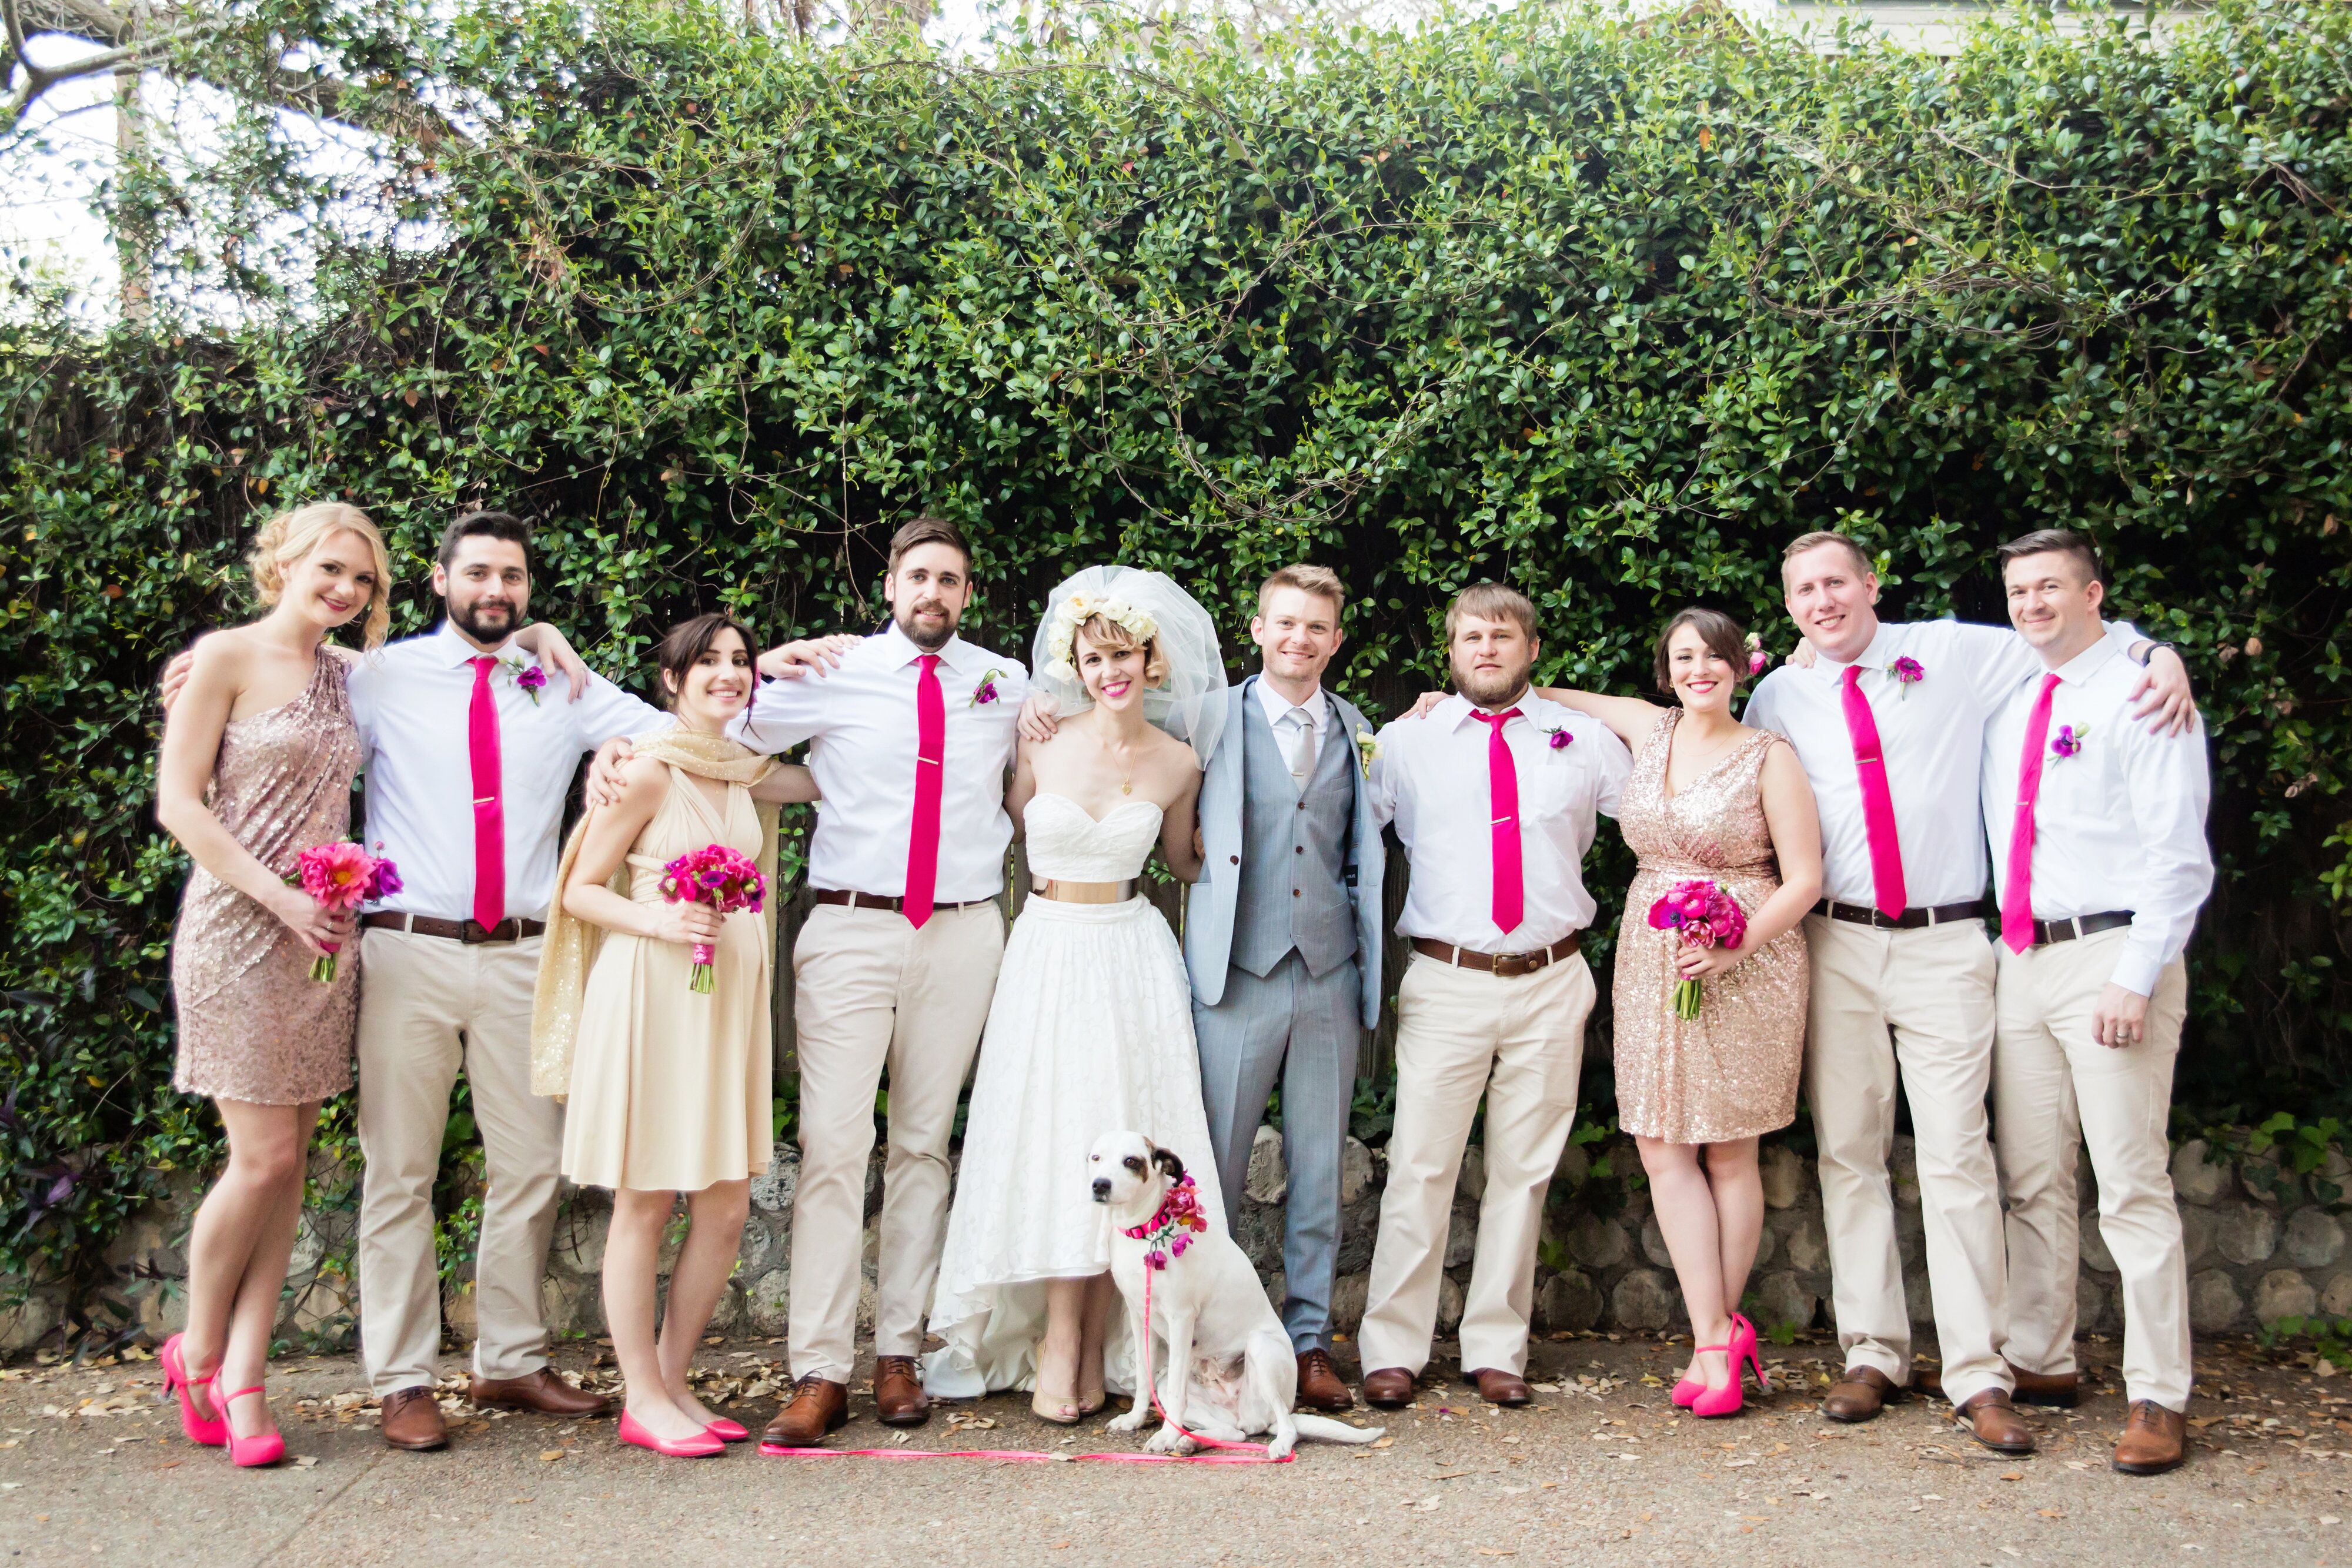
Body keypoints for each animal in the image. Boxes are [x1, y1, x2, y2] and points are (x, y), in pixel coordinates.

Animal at [1091, 1128, 1383, 1457]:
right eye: (1096, 1157)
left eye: (1131, 1161)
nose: (1100, 1185)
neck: (1143, 1232)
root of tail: (1246, 1413)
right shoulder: (1139, 1318)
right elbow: (1143, 1378)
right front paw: (1135, 1420)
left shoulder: (1180, 1319)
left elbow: (1178, 1393)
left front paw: (1165, 1436)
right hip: (1192, 1395)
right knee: (1236, 1433)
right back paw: (1192, 1440)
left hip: (1260, 1349)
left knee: (1286, 1427)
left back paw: (1273, 1443)